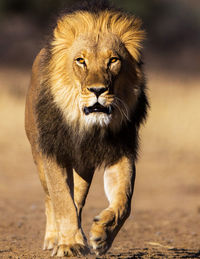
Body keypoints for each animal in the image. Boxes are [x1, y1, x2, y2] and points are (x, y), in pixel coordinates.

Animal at [24, 0, 148, 258]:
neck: (85, 126)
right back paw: (54, 238)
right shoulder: (52, 152)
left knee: (78, 199)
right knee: (50, 199)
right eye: (81, 60)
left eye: (113, 60)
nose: (98, 90)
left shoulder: (120, 151)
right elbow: (61, 199)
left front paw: (102, 236)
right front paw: (69, 244)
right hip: (38, 155)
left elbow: (124, 200)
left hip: (84, 165)